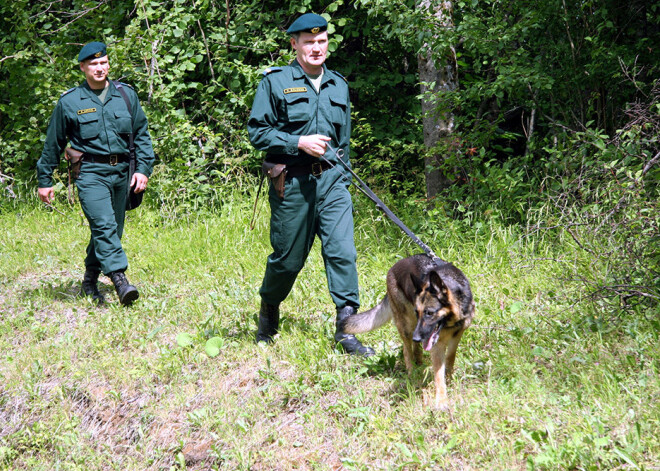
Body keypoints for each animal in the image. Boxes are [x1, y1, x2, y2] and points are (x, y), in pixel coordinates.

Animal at [340, 254, 474, 410]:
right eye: (418, 312)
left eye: (429, 313)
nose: (416, 337)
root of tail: (393, 267)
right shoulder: (437, 345)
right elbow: (438, 376)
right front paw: (441, 401)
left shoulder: (456, 335)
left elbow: (450, 358)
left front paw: (450, 379)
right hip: (406, 325)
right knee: (406, 350)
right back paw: (412, 374)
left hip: (414, 327)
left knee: (415, 349)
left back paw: (419, 363)